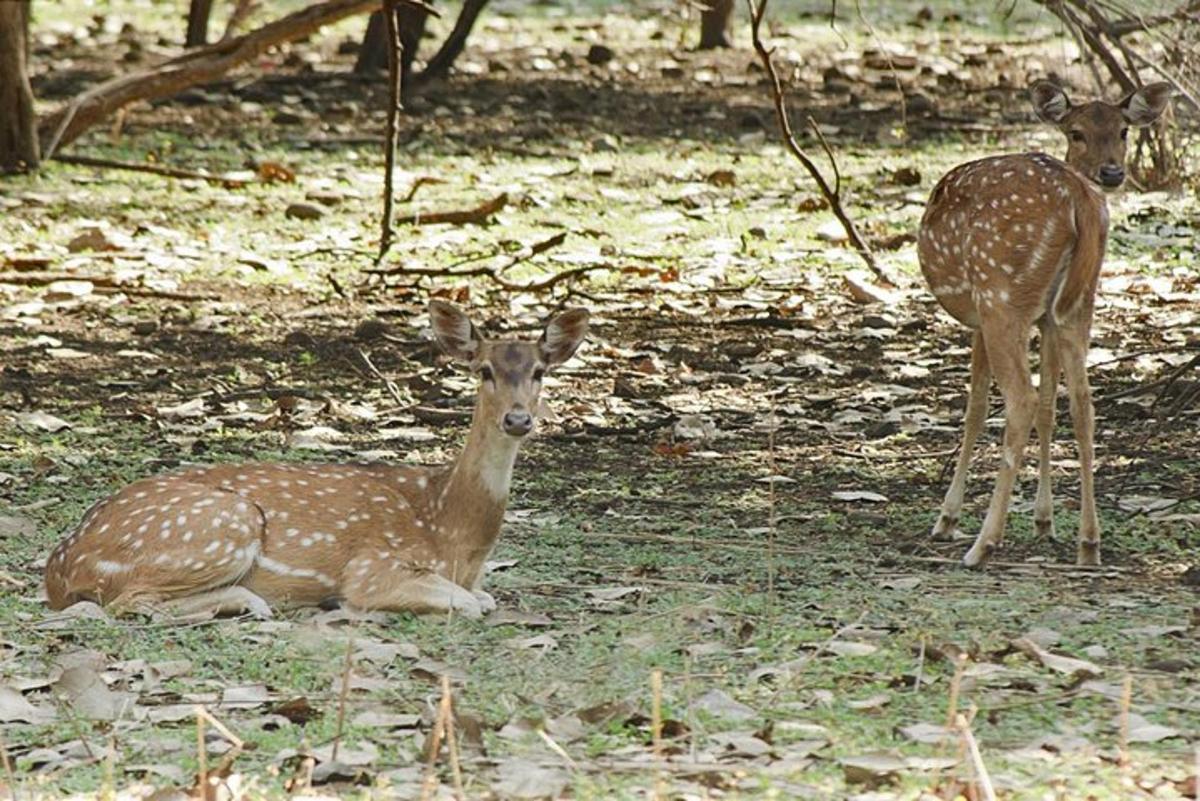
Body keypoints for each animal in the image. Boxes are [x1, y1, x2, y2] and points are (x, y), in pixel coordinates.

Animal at [44, 299, 588, 618]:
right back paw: (252, 601)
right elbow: (473, 604)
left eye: (539, 371)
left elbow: (485, 596)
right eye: (484, 370)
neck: (454, 532)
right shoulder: (373, 566)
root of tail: (59, 570)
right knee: (130, 602)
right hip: (221, 525)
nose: (517, 419)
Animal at [916, 77, 1171, 565]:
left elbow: (976, 407)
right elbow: (1053, 406)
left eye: (1124, 131)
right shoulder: (1049, 320)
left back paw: (982, 544)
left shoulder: (981, 317)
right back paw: (1089, 543)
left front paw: (946, 519)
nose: (1112, 173)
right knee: (1084, 403)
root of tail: (1080, 199)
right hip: (1079, 302)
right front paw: (1044, 521)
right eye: (1077, 132)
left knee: (1021, 400)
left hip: (999, 292)